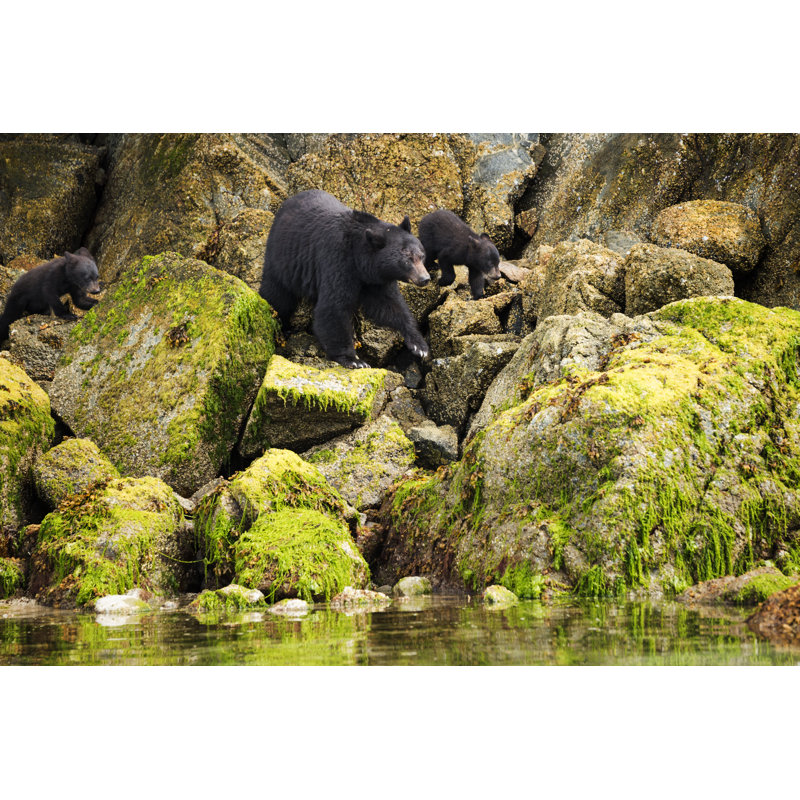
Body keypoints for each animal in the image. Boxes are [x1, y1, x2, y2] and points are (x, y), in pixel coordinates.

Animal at [259, 189, 431, 369]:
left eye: (421, 255)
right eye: (407, 259)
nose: (425, 278)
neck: (358, 256)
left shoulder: (375, 279)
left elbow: (389, 305)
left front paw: (419, 345)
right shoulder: (338, 260)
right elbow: (334, 307)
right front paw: (353, 359)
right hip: (282, 259)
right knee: (278, 295)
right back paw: (281, 324)